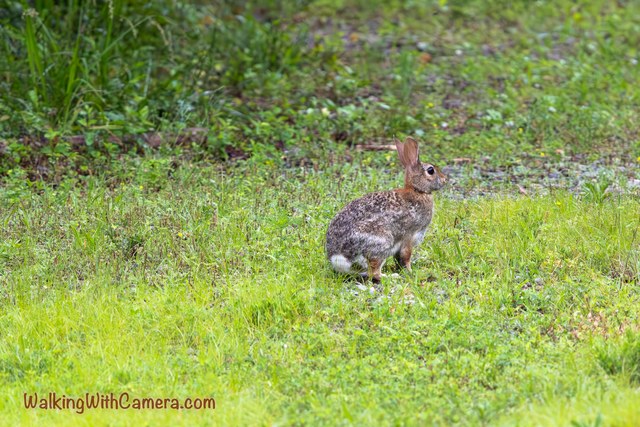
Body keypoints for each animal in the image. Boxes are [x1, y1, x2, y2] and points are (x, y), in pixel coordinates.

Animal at [325, 137, 447, 284]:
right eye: (431, 170)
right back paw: (391, 277)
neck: (417, 190)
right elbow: (406, 256)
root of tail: (338, 257)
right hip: (381, 243)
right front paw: (410, 272)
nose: (445, 179)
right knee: (374, 272)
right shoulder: (409, 236)